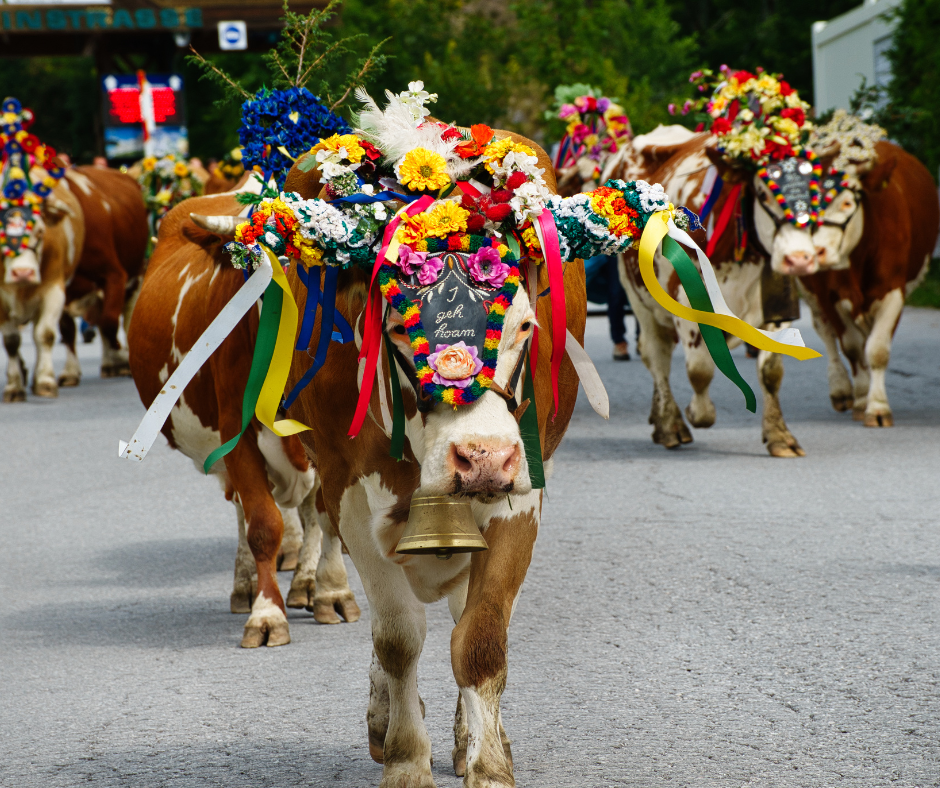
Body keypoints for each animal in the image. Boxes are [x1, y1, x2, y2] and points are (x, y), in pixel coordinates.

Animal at [0, 181, 84, 398]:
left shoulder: (53, 289)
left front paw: (45, 381)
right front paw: (14, 386)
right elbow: (11, 341)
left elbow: (45, 334)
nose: (23, 273)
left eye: (39, 232)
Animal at [130, 189, 366, 648]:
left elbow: (327, 516)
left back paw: (305, 583)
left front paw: (331, 590)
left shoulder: (332, 441)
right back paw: (246, 586)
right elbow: (262, 524)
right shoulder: (236, 438)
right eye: (261, 275)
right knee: (243, 510)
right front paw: (266, 613)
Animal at [260, 132, 588, 784]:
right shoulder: (351, 496)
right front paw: (407, 759)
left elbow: (480, 639)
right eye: (395, 328)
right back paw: (384, 718)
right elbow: (397, 640)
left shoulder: (521, 498)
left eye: (525, 326)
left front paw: (488, 764)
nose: (482, 458)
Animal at [756, 140, 940, 424]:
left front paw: (877, 406)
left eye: (846, 203)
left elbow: (877, 349)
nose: (816, 251)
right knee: (826, 334)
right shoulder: (828, 294)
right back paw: (842, 390)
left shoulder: (893, 291)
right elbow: (851, 346)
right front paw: (863, 398)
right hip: (810, 293)